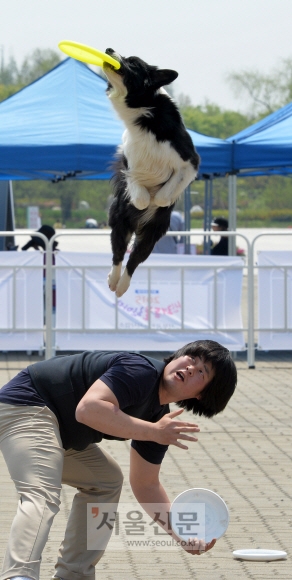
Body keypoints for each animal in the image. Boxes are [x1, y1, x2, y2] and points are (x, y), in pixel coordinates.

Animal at [103, 47, 201, 296]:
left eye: (133, 62)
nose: (108, 49)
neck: (144, 111)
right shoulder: (127, 162)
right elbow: (138, 191)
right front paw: (144, 199)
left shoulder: (190, 162)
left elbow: (166, 194)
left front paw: (158, 201)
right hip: (119, 222)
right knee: (119, 254)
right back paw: (113, 280)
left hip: (152, 235)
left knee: (134, 260)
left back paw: (122, 286)